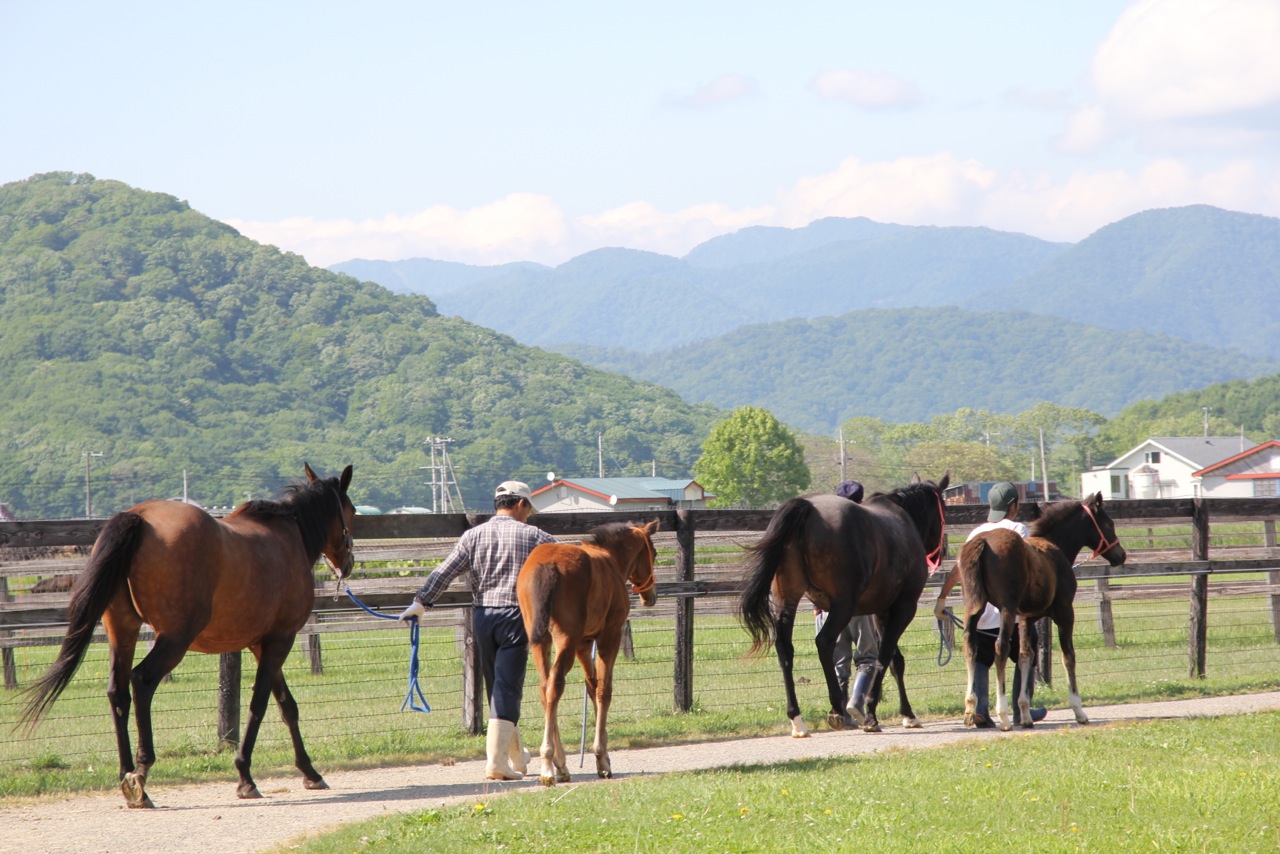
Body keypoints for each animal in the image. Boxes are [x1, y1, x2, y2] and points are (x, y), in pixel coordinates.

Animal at [19, 463, 356, 808]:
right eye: (352, 511)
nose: (348, 564)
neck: (290, 536)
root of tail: (138, 517)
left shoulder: (261, 644)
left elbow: (287, 706)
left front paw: (309, 772)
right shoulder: (280, 639)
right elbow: (260, 704)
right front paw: (245, 776)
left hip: (122, 630)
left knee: (118, 692)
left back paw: (126, 773)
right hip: (174, 639)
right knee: (142, 681)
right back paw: (141, 775)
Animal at [516, 519, 659, 786]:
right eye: (653, 553)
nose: (650, 596)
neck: (610, 559)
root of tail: (547, 564)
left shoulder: (584, 644)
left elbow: (591, 686)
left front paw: (605, 755)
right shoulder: (609, 637)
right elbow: (604, 690)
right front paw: (602, 759)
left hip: (541, 642)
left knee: (545, 688)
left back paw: (560, 764)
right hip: (565, 641)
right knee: (555, 686)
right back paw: (548, 765)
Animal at [739, 474, 950, 737]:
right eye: (944, 510)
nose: (943, 550)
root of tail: (807, 507)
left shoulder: (881, 612)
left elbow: (895, 661)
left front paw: (908, 714)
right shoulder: (903, 608)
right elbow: (884, 657)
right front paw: (872, 714)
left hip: (786, 600)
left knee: (785, 649)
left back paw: (797, 718)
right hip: (842, 606)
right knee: (824, 641)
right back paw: (836, 708)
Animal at [947, 493, 1126, 731]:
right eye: (1108, 523)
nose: (1121, 555)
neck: (1054, 547)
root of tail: (982, 542)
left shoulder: (1026, 618)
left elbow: (1026, 655)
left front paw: (1025, 714)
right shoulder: (1065, 613)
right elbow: (1068, 656)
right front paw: (1079, 710)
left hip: (973, 607)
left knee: (971, 645)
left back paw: (970, 709)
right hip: (1006, 608)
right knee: (1000, 647)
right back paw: (1002, 715)